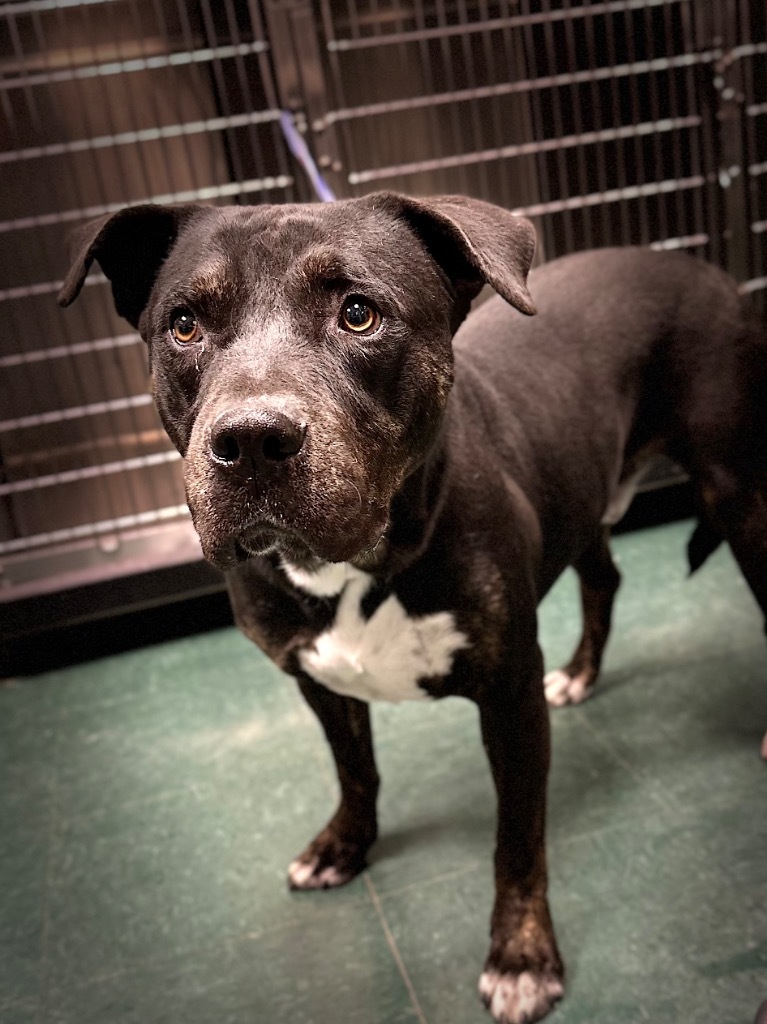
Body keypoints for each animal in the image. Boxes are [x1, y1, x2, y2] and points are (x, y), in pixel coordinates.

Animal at [61, 193, 765, 1024]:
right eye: (183, 324)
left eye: (358, 313)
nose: (251, 439)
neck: (353, 567)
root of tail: (697, 265)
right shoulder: (316, 680)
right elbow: (354, 771)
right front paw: (343, 845)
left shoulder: (509, 698)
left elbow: (515, 838)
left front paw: (520, 957)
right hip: (581, 494)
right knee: (603, 578)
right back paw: (580, 673)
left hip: (738, 494)